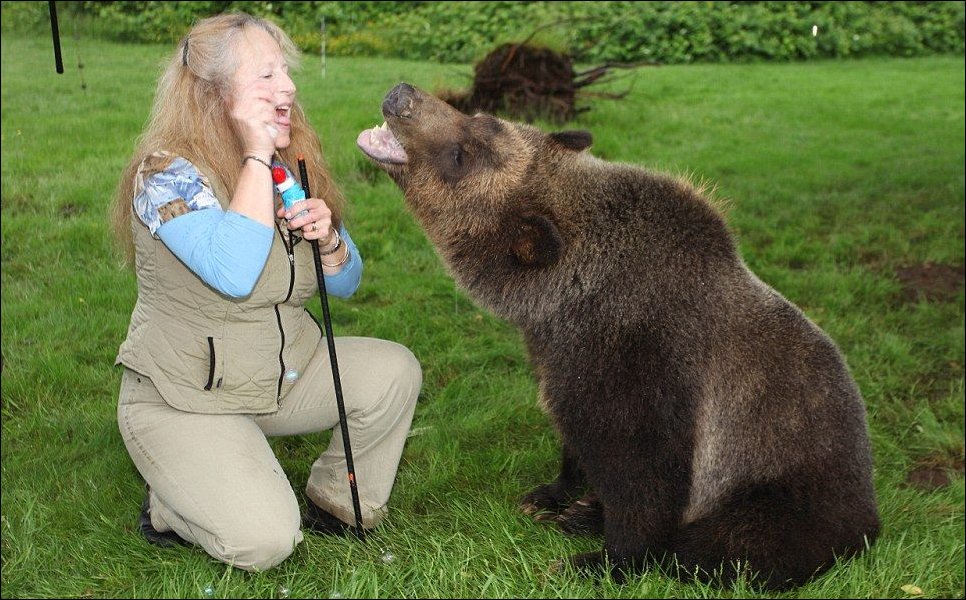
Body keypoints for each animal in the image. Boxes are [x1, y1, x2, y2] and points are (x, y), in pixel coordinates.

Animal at [358, 81, 884, 592]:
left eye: (461, 153)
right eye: (479, 118)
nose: (402, 95)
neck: (561, 304)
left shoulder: (643, 361)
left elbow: (643, 472)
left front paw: (599, 560)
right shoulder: (560, 357)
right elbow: (574, 436)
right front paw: (552, 496)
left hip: (787, 488)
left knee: (733, 543)